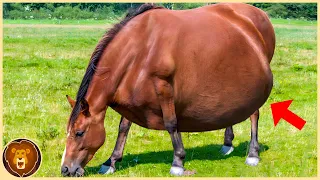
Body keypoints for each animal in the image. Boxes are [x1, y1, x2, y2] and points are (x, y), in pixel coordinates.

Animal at [60, 2, 276, 176]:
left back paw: (253, 154)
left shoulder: (164, 87)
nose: (66, 169)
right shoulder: (129, 94)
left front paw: (178, 162)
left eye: (79, 133)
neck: (142, 46)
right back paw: (227, 144)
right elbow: (123, 127)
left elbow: (171, 123)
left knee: (254, 114)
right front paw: (111, 161)